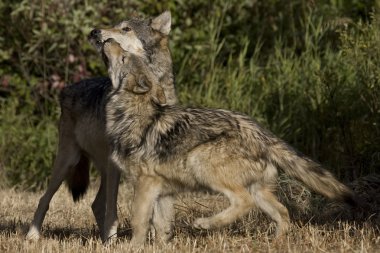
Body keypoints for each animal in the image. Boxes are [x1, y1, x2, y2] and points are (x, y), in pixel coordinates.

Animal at [26, 10, 177, 243]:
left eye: (126, 28)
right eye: (115, 24)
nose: (94, 31)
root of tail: (67, 88)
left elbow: (154, 209)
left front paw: (153, 239)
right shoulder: (115, 164)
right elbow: (112, 210)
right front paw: (112, 242)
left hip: (101, 168)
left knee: (96, 204)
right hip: (68, 162)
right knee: (45, 198)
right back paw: (33, 236)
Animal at [102, 39, 358, 247]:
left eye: (124, 56)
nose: (107, 39)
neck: (129, 113)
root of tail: (261, 133)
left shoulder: (145, 184)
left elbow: (139, 222)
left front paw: (132, 247)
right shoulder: (161, 192)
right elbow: (161, 227)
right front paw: (162, 247)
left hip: (201, 163)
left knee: (243, 202)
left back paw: (205, 223)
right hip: (259, 190)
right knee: (283, 212)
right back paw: (275, 243)